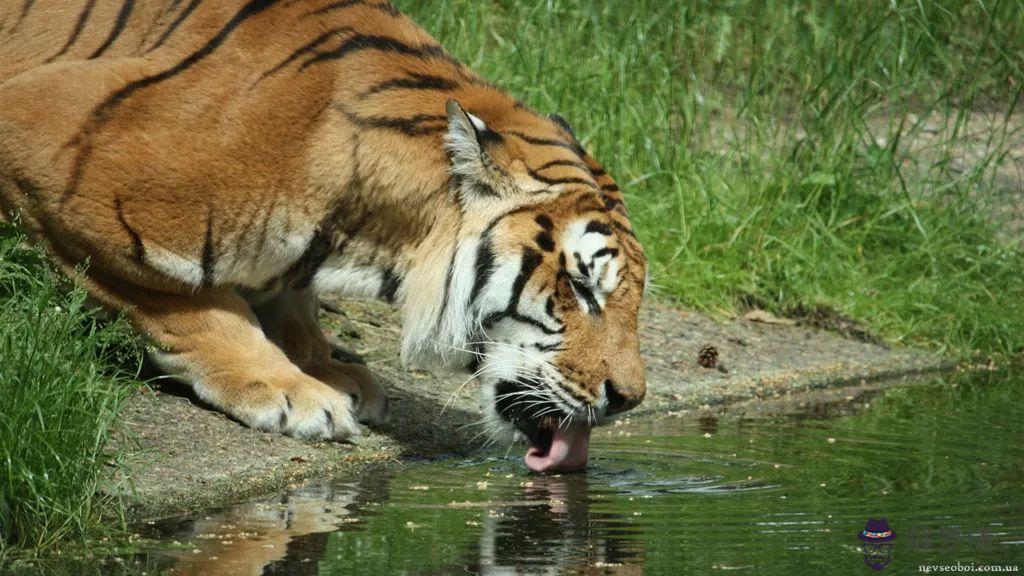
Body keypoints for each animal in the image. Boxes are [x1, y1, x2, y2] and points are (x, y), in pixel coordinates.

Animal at [2, 0, 647, 471]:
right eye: (582, 288)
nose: (631, 399)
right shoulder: (53, 158)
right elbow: (195, 306)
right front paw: (293, 392)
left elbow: (290, 295)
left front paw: (327, 366)